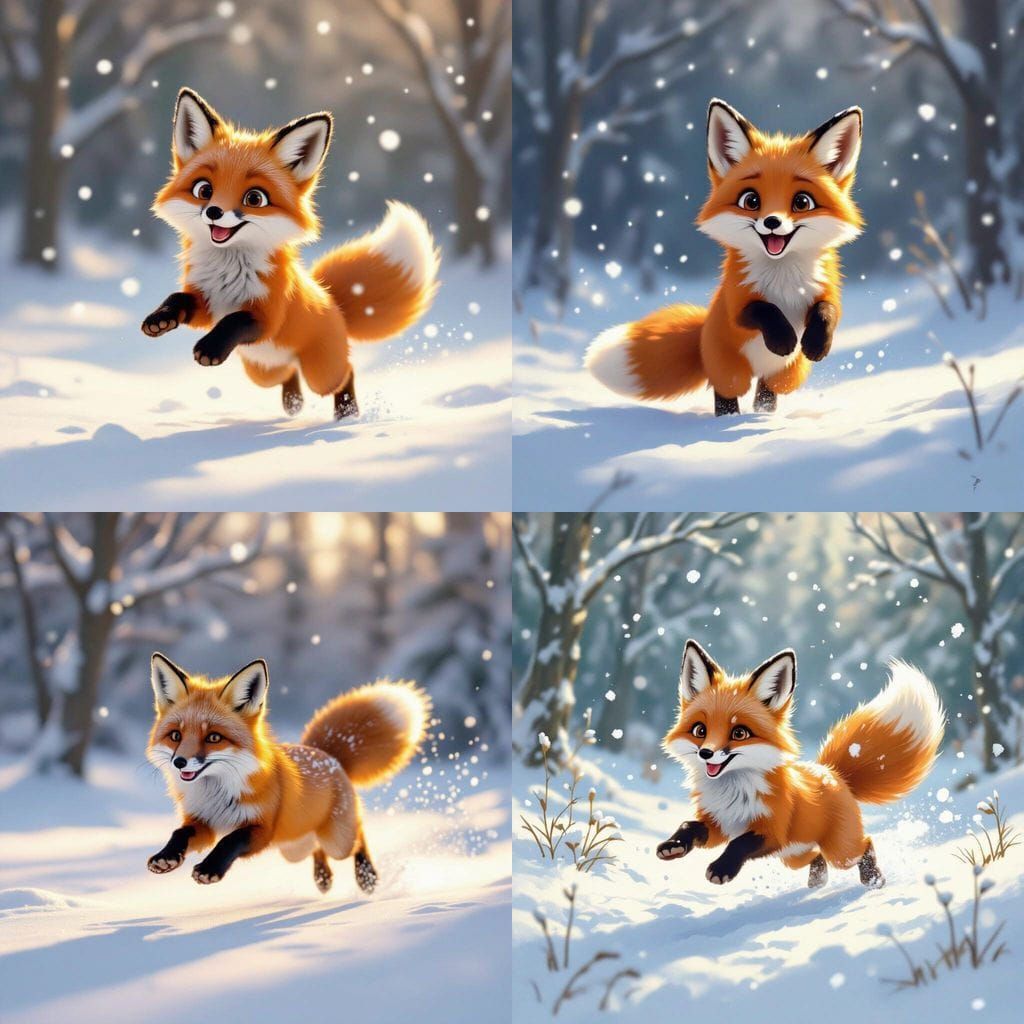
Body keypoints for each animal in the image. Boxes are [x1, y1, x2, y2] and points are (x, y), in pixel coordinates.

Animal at [143, 88, 440, 420]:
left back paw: (346, 413)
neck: (228, 271)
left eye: (254, 198)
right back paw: (293, 402)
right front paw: (160, 319)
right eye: (204, 190)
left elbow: (236, 320)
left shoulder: (268, 316)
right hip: (262, 371)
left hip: (320, 373)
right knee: (287, 374)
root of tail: (334, 302)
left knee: (345, 372)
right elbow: (179, 299)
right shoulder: (207, 303)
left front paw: (210, 347)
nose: (214, 212)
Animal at [145, 652, 431, 894]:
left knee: (358, 836)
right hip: (294, 848)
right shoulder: (203, 821)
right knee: (316, 848)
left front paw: (209, 869)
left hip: (336, 842)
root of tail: (327, 755)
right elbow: (180, 833)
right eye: (176, 736)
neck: (219, 791)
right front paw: (166, 857)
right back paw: (323, 877)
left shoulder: (262, 828)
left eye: (214, 737)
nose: (179, 762)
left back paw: (366, 876)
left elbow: (230, 841)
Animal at [586, 99, 864, 416]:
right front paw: (783, 339)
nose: (772, 222)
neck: (782, 277)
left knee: (767, 391)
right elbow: (763, 309)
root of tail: (702, 333)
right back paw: (729, 419)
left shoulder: (825, 292)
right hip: (729, 370)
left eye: (802, 202)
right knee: (727, 392)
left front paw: (817, 343)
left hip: (788, 374)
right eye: (751, 200)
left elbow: (827, 311)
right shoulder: (736, 304)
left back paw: (763, 415)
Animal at [658, 639, 944, 890]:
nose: (706, 753)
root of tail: (834, 773)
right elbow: (690, 825)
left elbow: (739, 843)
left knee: (865, 844)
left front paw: (721, 869)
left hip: (838, 851)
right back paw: (818, 880)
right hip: (792, 855)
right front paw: (674, 845)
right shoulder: (719, 823)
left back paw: (873, 878)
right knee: (816, 856)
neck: (733, 791)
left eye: (739, 733)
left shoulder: (772, 830)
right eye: (700, 730)